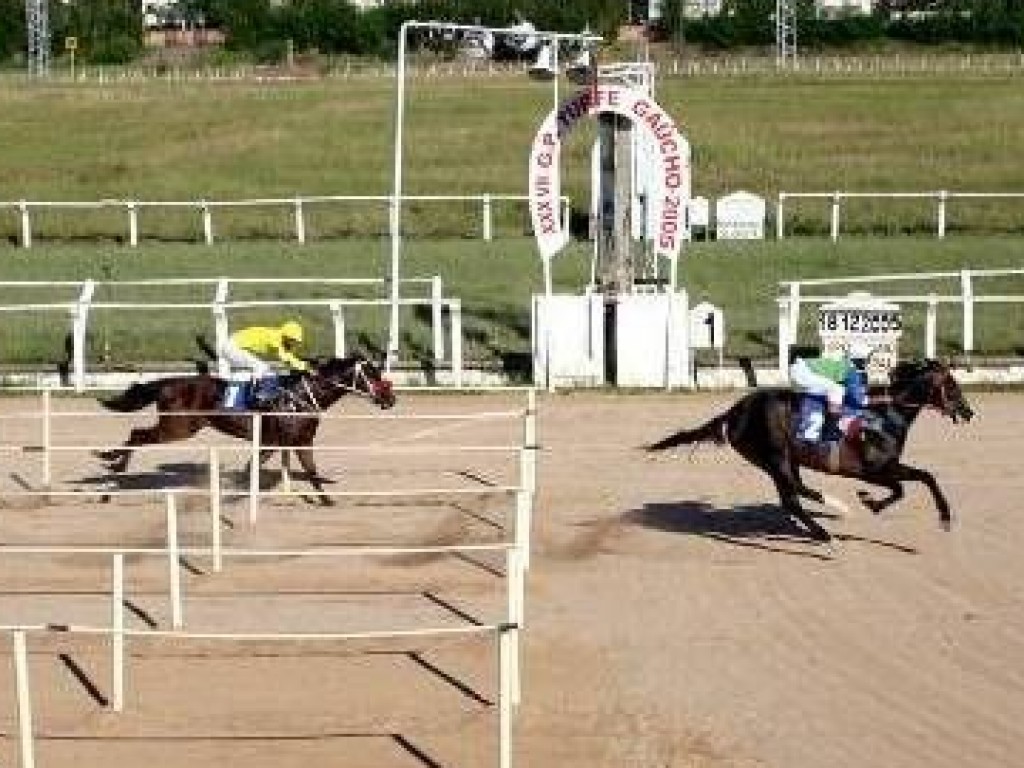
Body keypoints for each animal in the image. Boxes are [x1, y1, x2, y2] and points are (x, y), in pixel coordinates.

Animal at [96, 354, 393, 501]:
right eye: (372, 374)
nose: (391, 398)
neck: (303, 396)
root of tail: (168, 382)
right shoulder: (287, 441)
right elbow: (274, 470)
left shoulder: (288, 442)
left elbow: (305, 471)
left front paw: (327, 500)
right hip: (178, 428)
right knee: (137, 435)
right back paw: (112, 463)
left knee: (137, 435)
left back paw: (112, 464)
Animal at [647, 360, 974, 540]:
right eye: (952, 385)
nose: (969, 412)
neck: (885, 416)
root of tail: (734, 411)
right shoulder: (873, 470)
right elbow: (903, 487)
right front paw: (869, 501)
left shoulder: (888, 466)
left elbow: (925, 477)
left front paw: (943, 517)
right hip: (775, 454)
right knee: (795, 491)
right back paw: (833, 512)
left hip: (780, 459)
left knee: (791, 496)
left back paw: (818, 528)